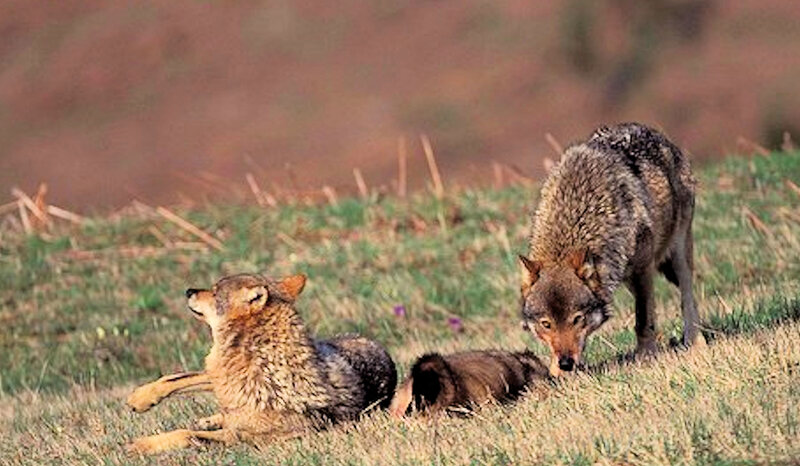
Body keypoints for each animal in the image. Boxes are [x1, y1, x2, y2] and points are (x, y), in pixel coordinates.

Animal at [126, 273, 397, 454]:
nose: (188, 290)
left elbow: (185, 434)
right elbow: (176, 377)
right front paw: (140, 398)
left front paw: (139, 445)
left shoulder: (243, 439)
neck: (261, 364)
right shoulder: (221, 378)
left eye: (214, 292)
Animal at [519, 122, 704, 377]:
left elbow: (643, 320)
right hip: (627, 278)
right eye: (546, 324)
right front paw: (556, 373)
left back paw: (695, 341)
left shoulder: (643, 270)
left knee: (687, 296)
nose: (566, 364)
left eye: (577, 319)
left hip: (677, 253)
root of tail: (655, 133)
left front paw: (646, 358)